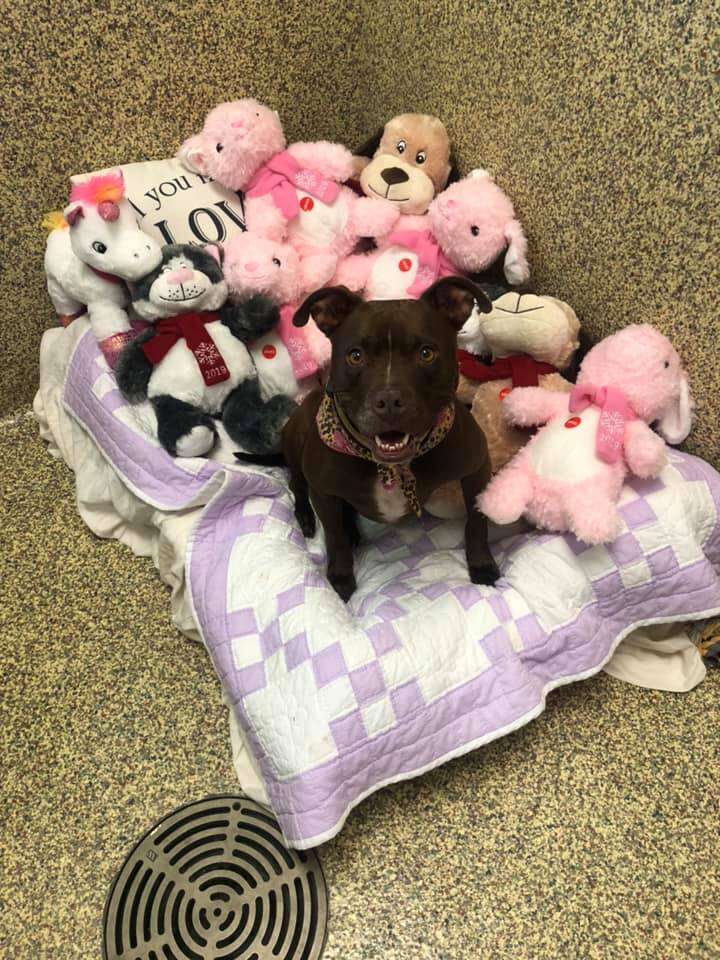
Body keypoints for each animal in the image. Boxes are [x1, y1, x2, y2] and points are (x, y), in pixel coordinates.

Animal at [282, 274, 500, 600]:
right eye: (355, 356)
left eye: (426, 353)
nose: (388, 400)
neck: (392, 467)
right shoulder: (321, 490)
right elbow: (333, 537)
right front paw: (341, 576)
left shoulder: (476, 468)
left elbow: (477, 521)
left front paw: (481, 564)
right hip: (294, 439)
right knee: (296, 483)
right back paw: (308, 518)